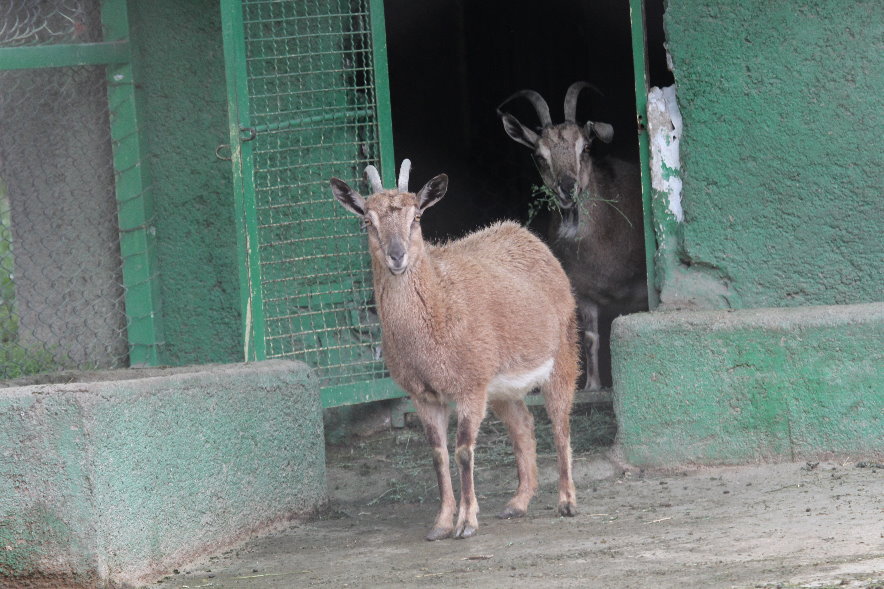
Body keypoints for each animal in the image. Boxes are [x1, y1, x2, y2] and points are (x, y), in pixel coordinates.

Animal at [330, 160, 579, 540]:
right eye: (367, 221)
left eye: (416, 216)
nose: (397, 256)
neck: (439, 307)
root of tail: (529, 238)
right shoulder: (424, 394)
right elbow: (438, 454)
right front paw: (440, 524)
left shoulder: (469, 387)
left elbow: (463, 450)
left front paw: (466, 523)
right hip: (501, 387)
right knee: (523, 423)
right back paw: (517, 503)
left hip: (563, 353)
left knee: (560, 422)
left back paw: (567, 502)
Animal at [498, 81, 647, 390]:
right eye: (540, 156)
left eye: (585, 147)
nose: (568, 187)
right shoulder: (583, 291)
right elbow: (590, 338)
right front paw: (592, 386)